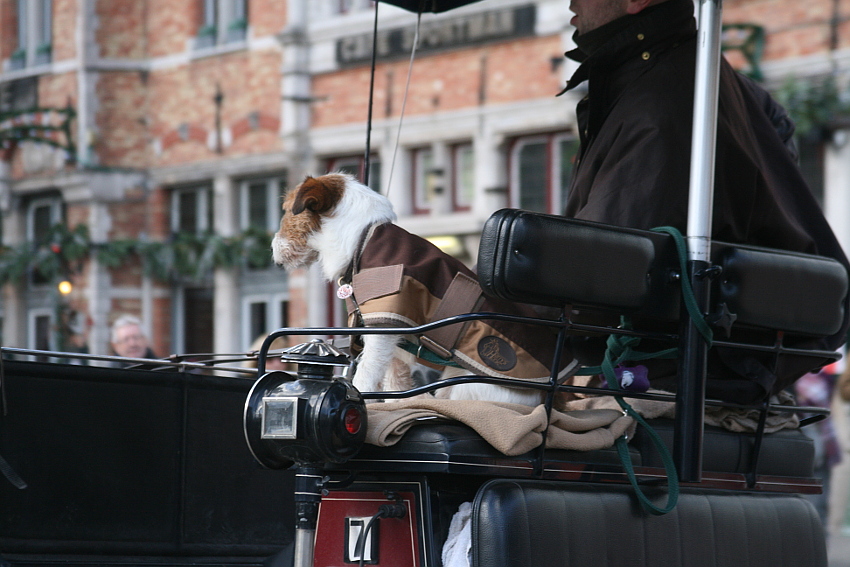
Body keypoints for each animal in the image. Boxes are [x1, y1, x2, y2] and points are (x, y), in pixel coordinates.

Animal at [272, 173, 572, 405]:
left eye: (285, 211)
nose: (272, 252)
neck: (363, 237)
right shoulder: (393, 336)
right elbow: (394, 381)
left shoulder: (381, 328)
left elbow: (365, 375)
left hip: (465, 384)